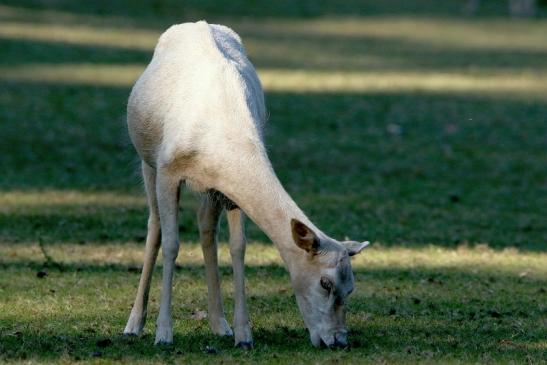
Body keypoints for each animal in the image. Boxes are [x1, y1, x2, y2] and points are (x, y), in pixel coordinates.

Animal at [123, 21, 370, 348]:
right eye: (325, 283)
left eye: (351, 287)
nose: (339, 340)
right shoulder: (168, 171)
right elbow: (172, 244)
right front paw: (163, 334)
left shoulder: (229, 190)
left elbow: (238, 246)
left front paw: (244, 335)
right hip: (146, 160)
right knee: (155, 227)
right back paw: (134, 324)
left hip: (211, 190)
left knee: (206, 229)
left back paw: (220, 324)